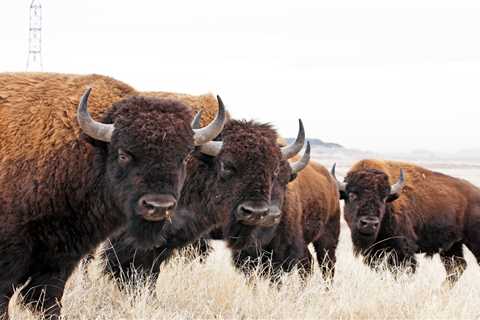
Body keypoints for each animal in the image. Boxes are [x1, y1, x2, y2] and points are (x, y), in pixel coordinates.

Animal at [332, 159, 480, 286]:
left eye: (384, 198)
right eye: (352, 195)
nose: (369, 223)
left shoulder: (402, 251)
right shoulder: (374, 253)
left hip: (472, 242)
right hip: (452, 246)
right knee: (456, 267)